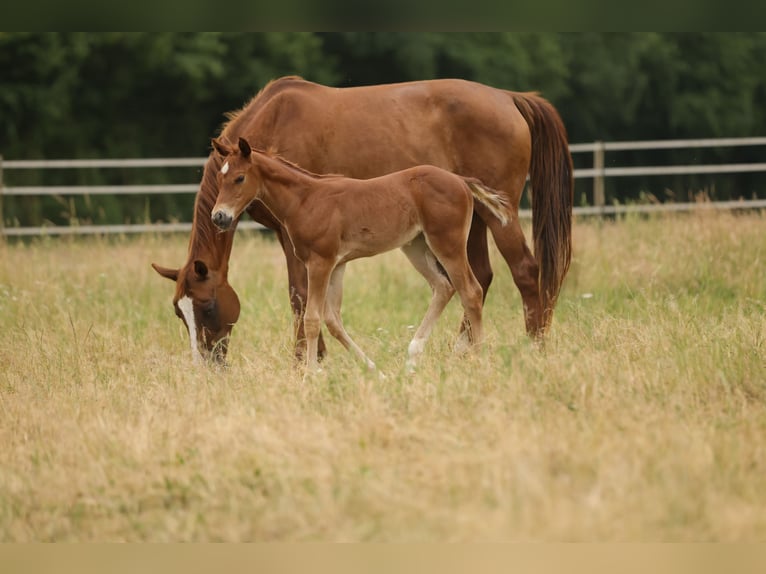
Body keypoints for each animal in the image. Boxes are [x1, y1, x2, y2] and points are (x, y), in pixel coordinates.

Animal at [210, 136, 510, 372]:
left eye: (239, 178)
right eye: (219, 177)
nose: (219, 217)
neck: (305, 200)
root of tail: (460, 180)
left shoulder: (319, 262)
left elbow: (312, 318)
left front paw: (310, 374)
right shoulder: (336, 265)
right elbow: (332, 320)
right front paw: (374, 370)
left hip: (447, 243)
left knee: (470, 291)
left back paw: (480, 361)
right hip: (415, 245)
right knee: (443, 287)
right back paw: (412, 357)